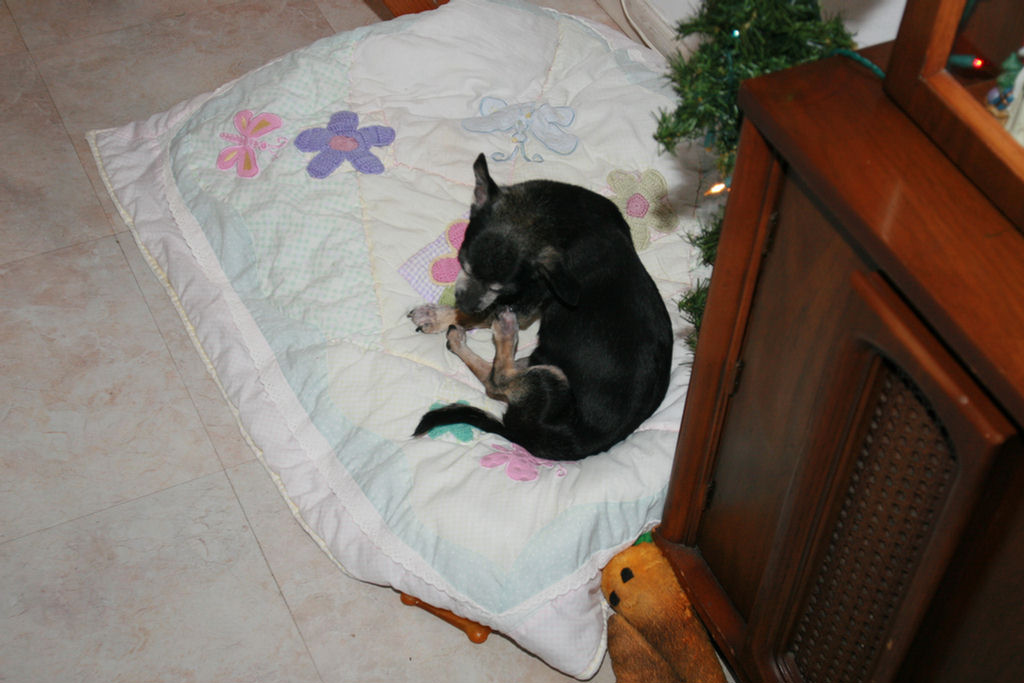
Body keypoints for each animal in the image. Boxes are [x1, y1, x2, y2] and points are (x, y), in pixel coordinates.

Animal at [409, 154, 672, 461]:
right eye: (463, 264)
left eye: (501, 287)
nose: (464, 304)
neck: (553, 215)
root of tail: (526, 437)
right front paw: (444, 316)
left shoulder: (528, 298)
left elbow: (488, 313)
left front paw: (443, 315)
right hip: (543, 369)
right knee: (493, 378)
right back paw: (464, 340)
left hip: (551, 379)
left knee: (496, 380)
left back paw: (502, 333)